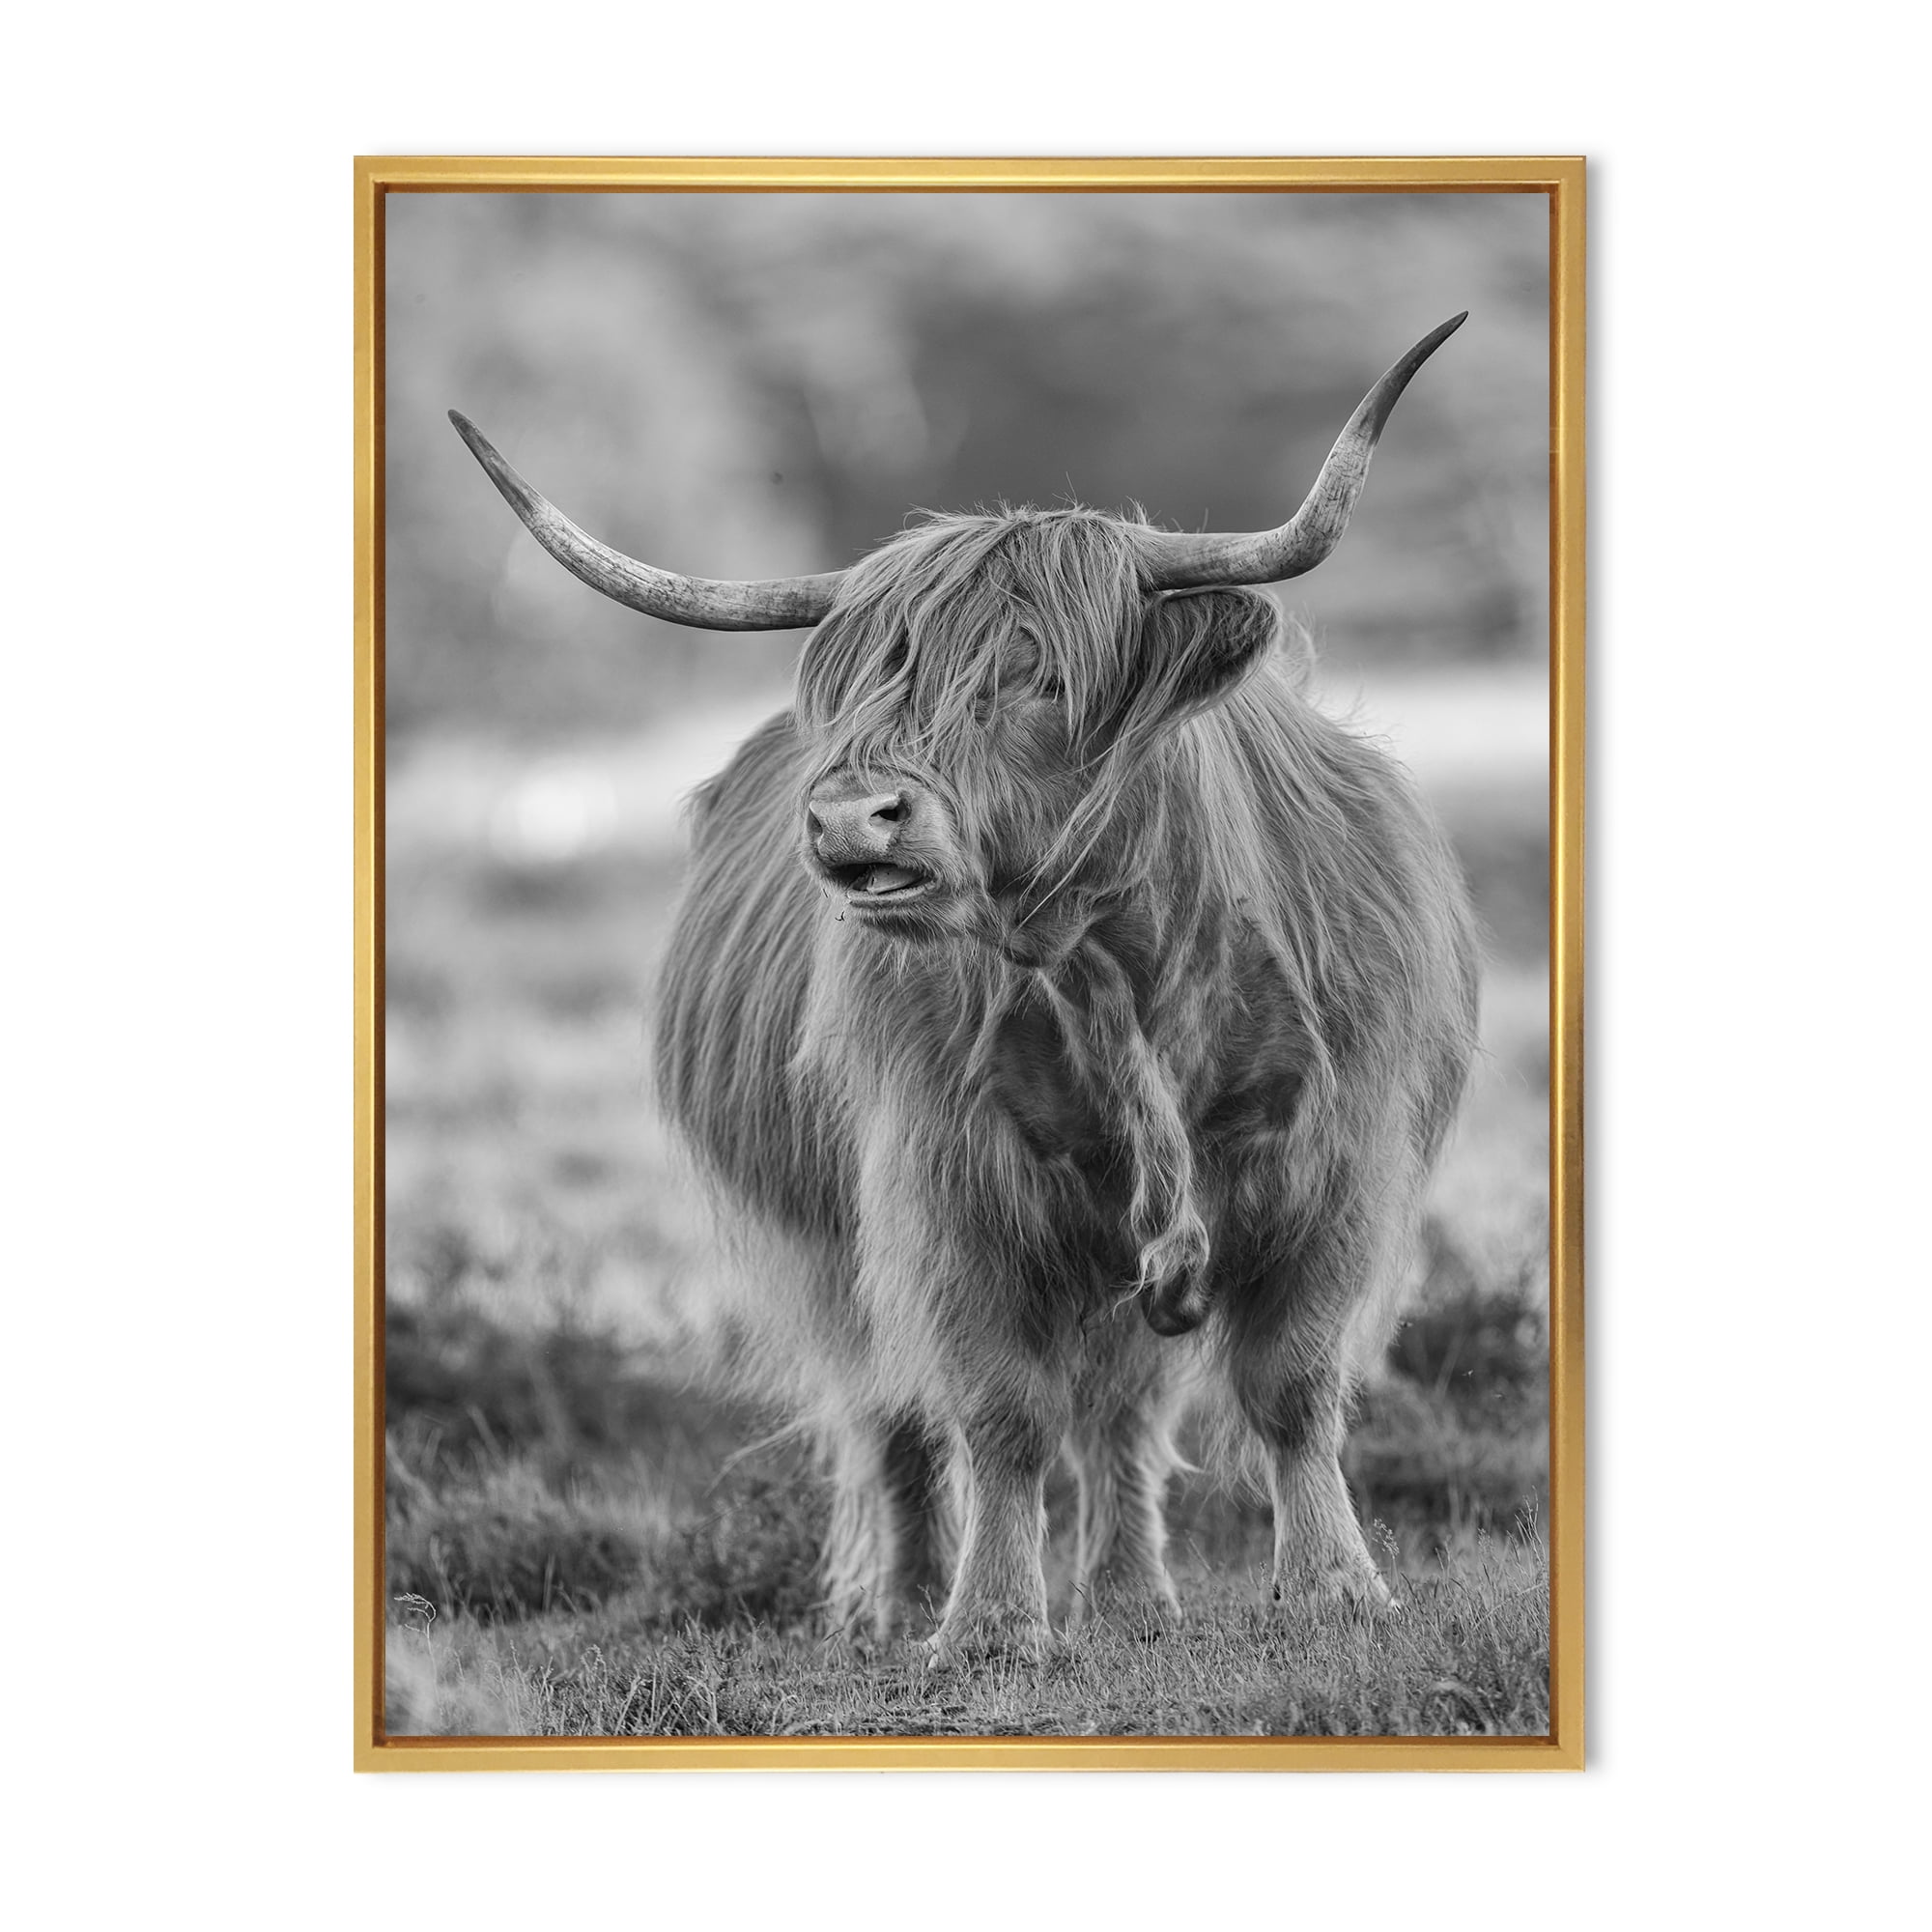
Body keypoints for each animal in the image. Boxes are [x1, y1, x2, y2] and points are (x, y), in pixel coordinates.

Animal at [449, 314, 1480, 1664]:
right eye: (866, 684)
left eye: (1037, 674)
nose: (849, 815)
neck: (1119, 968)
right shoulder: (945, 1186)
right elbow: (996, 1411)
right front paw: (987, 1623)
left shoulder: (1334, 1163)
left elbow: (1291, 1385)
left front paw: (1331, 1588)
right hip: (836, 1248)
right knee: (893, 1409)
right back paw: (899, 1606)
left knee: (1123, 1411)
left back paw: (1131, 1595)